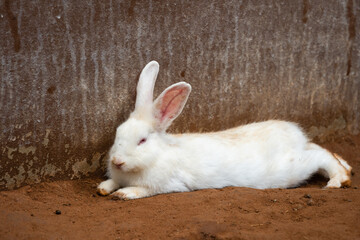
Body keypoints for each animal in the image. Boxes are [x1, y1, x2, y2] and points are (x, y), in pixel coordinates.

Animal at [97, 61, 352, 200]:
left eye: (142, 141)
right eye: (118, 134)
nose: (117, 161)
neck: (157, 155)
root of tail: (294, 134)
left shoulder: (168, 184)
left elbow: (141, 190)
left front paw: (123, 194)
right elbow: (111, 184)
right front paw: (103, 188)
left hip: (293, 167)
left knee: (321, 156)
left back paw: (339, 179)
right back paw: (347, 166)